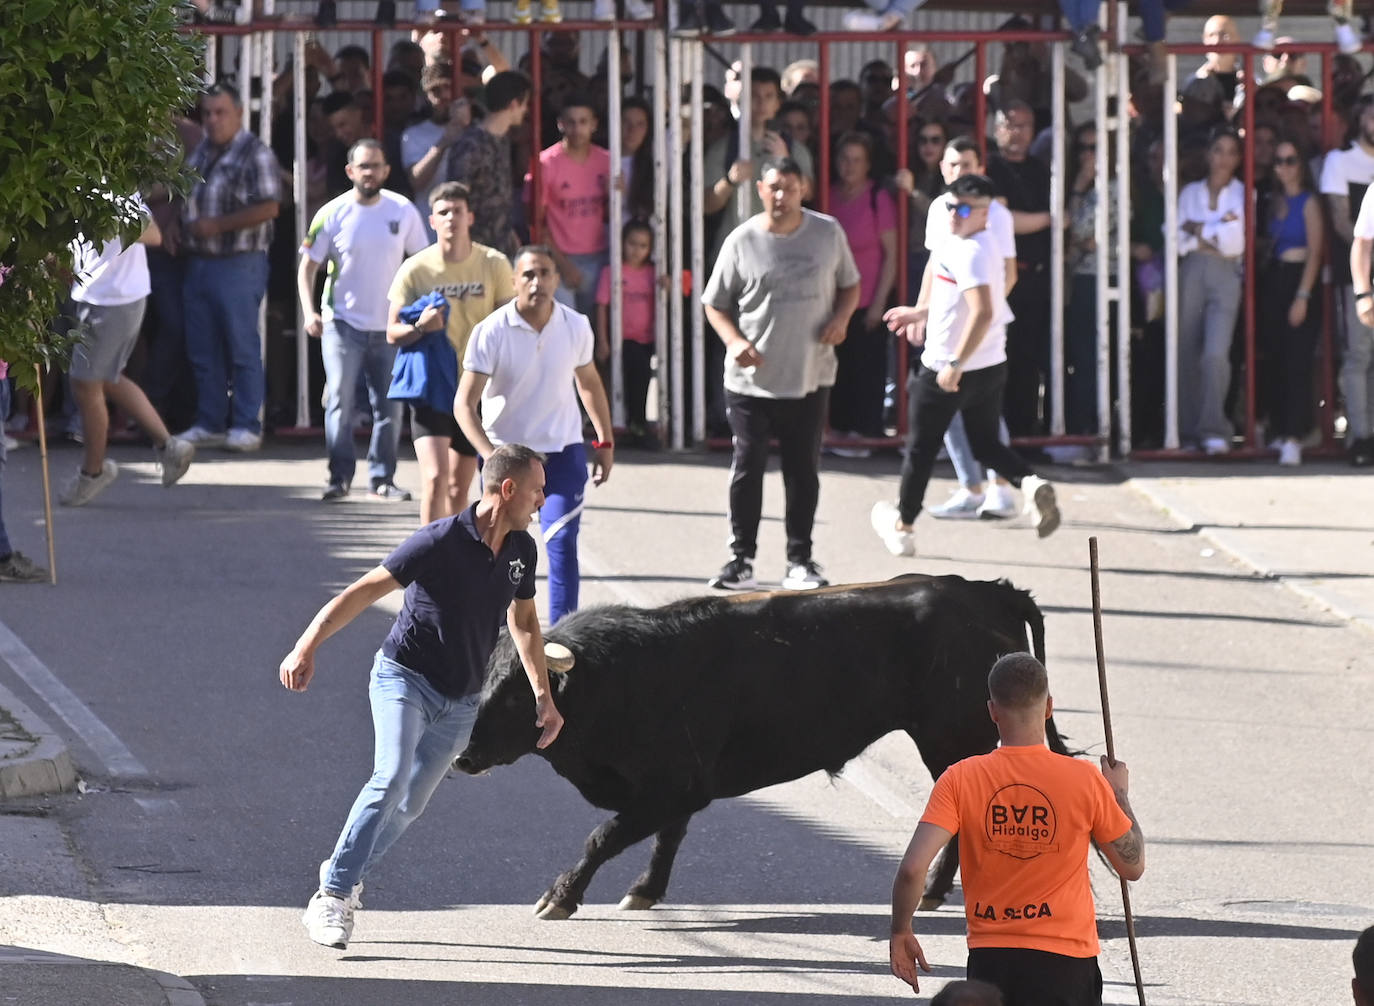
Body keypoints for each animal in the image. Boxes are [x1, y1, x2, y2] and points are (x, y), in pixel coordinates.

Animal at [456, 574, 1066, 918]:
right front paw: (646, 890)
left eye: (517, 695)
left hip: (952, 738)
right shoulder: (681, 789)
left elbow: (603, 837)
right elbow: (665, 840)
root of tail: (987, 592)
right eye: (483, 682)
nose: (463, 756)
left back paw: (937, 891)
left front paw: (560, 897)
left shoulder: (669, 787)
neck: (622, 674)